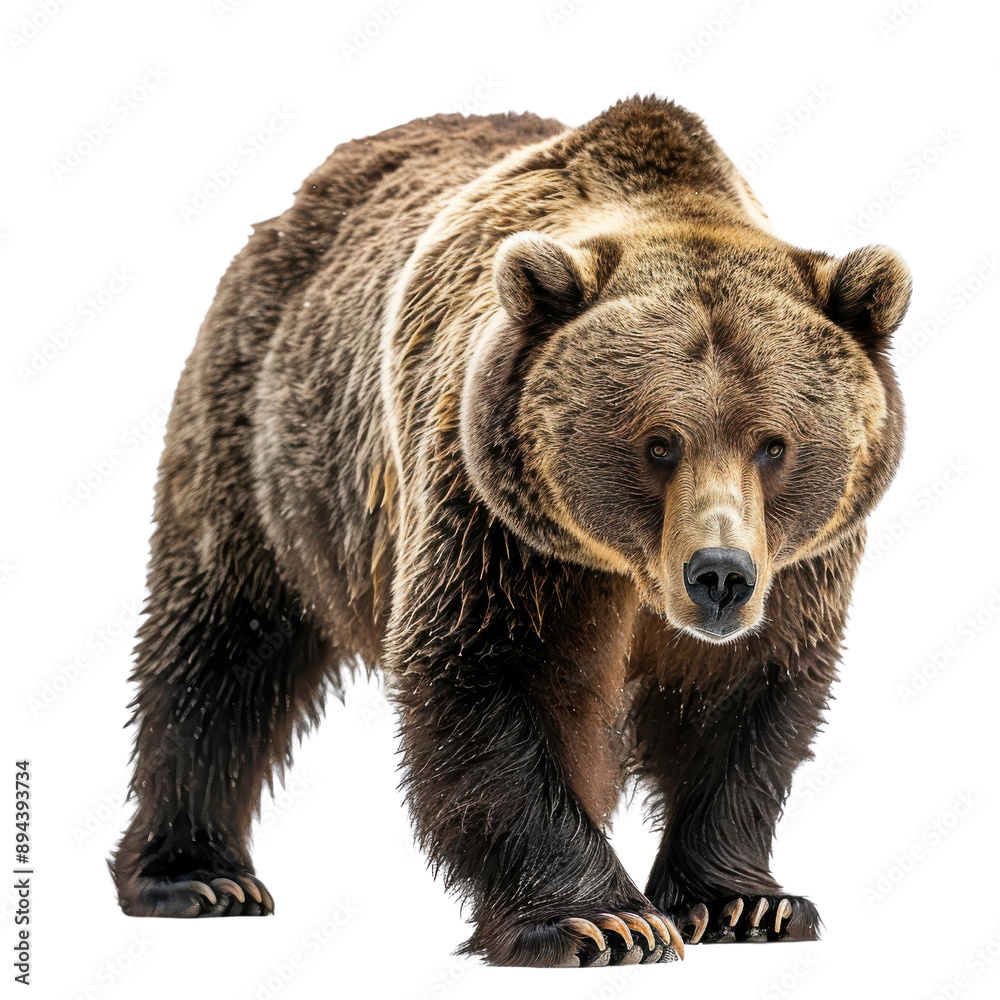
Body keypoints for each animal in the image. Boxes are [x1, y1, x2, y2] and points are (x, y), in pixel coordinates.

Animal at [110, 95, 911, 968]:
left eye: (774, 444)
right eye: (658, 442)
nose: (720, 575)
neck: (624, 569)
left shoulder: (798, 566)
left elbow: (744, 695)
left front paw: (746, 903)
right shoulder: (499, 523)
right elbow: (491, 676)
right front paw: (603, 921)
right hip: (270, 444)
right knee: (220, 644)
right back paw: (198, 876)